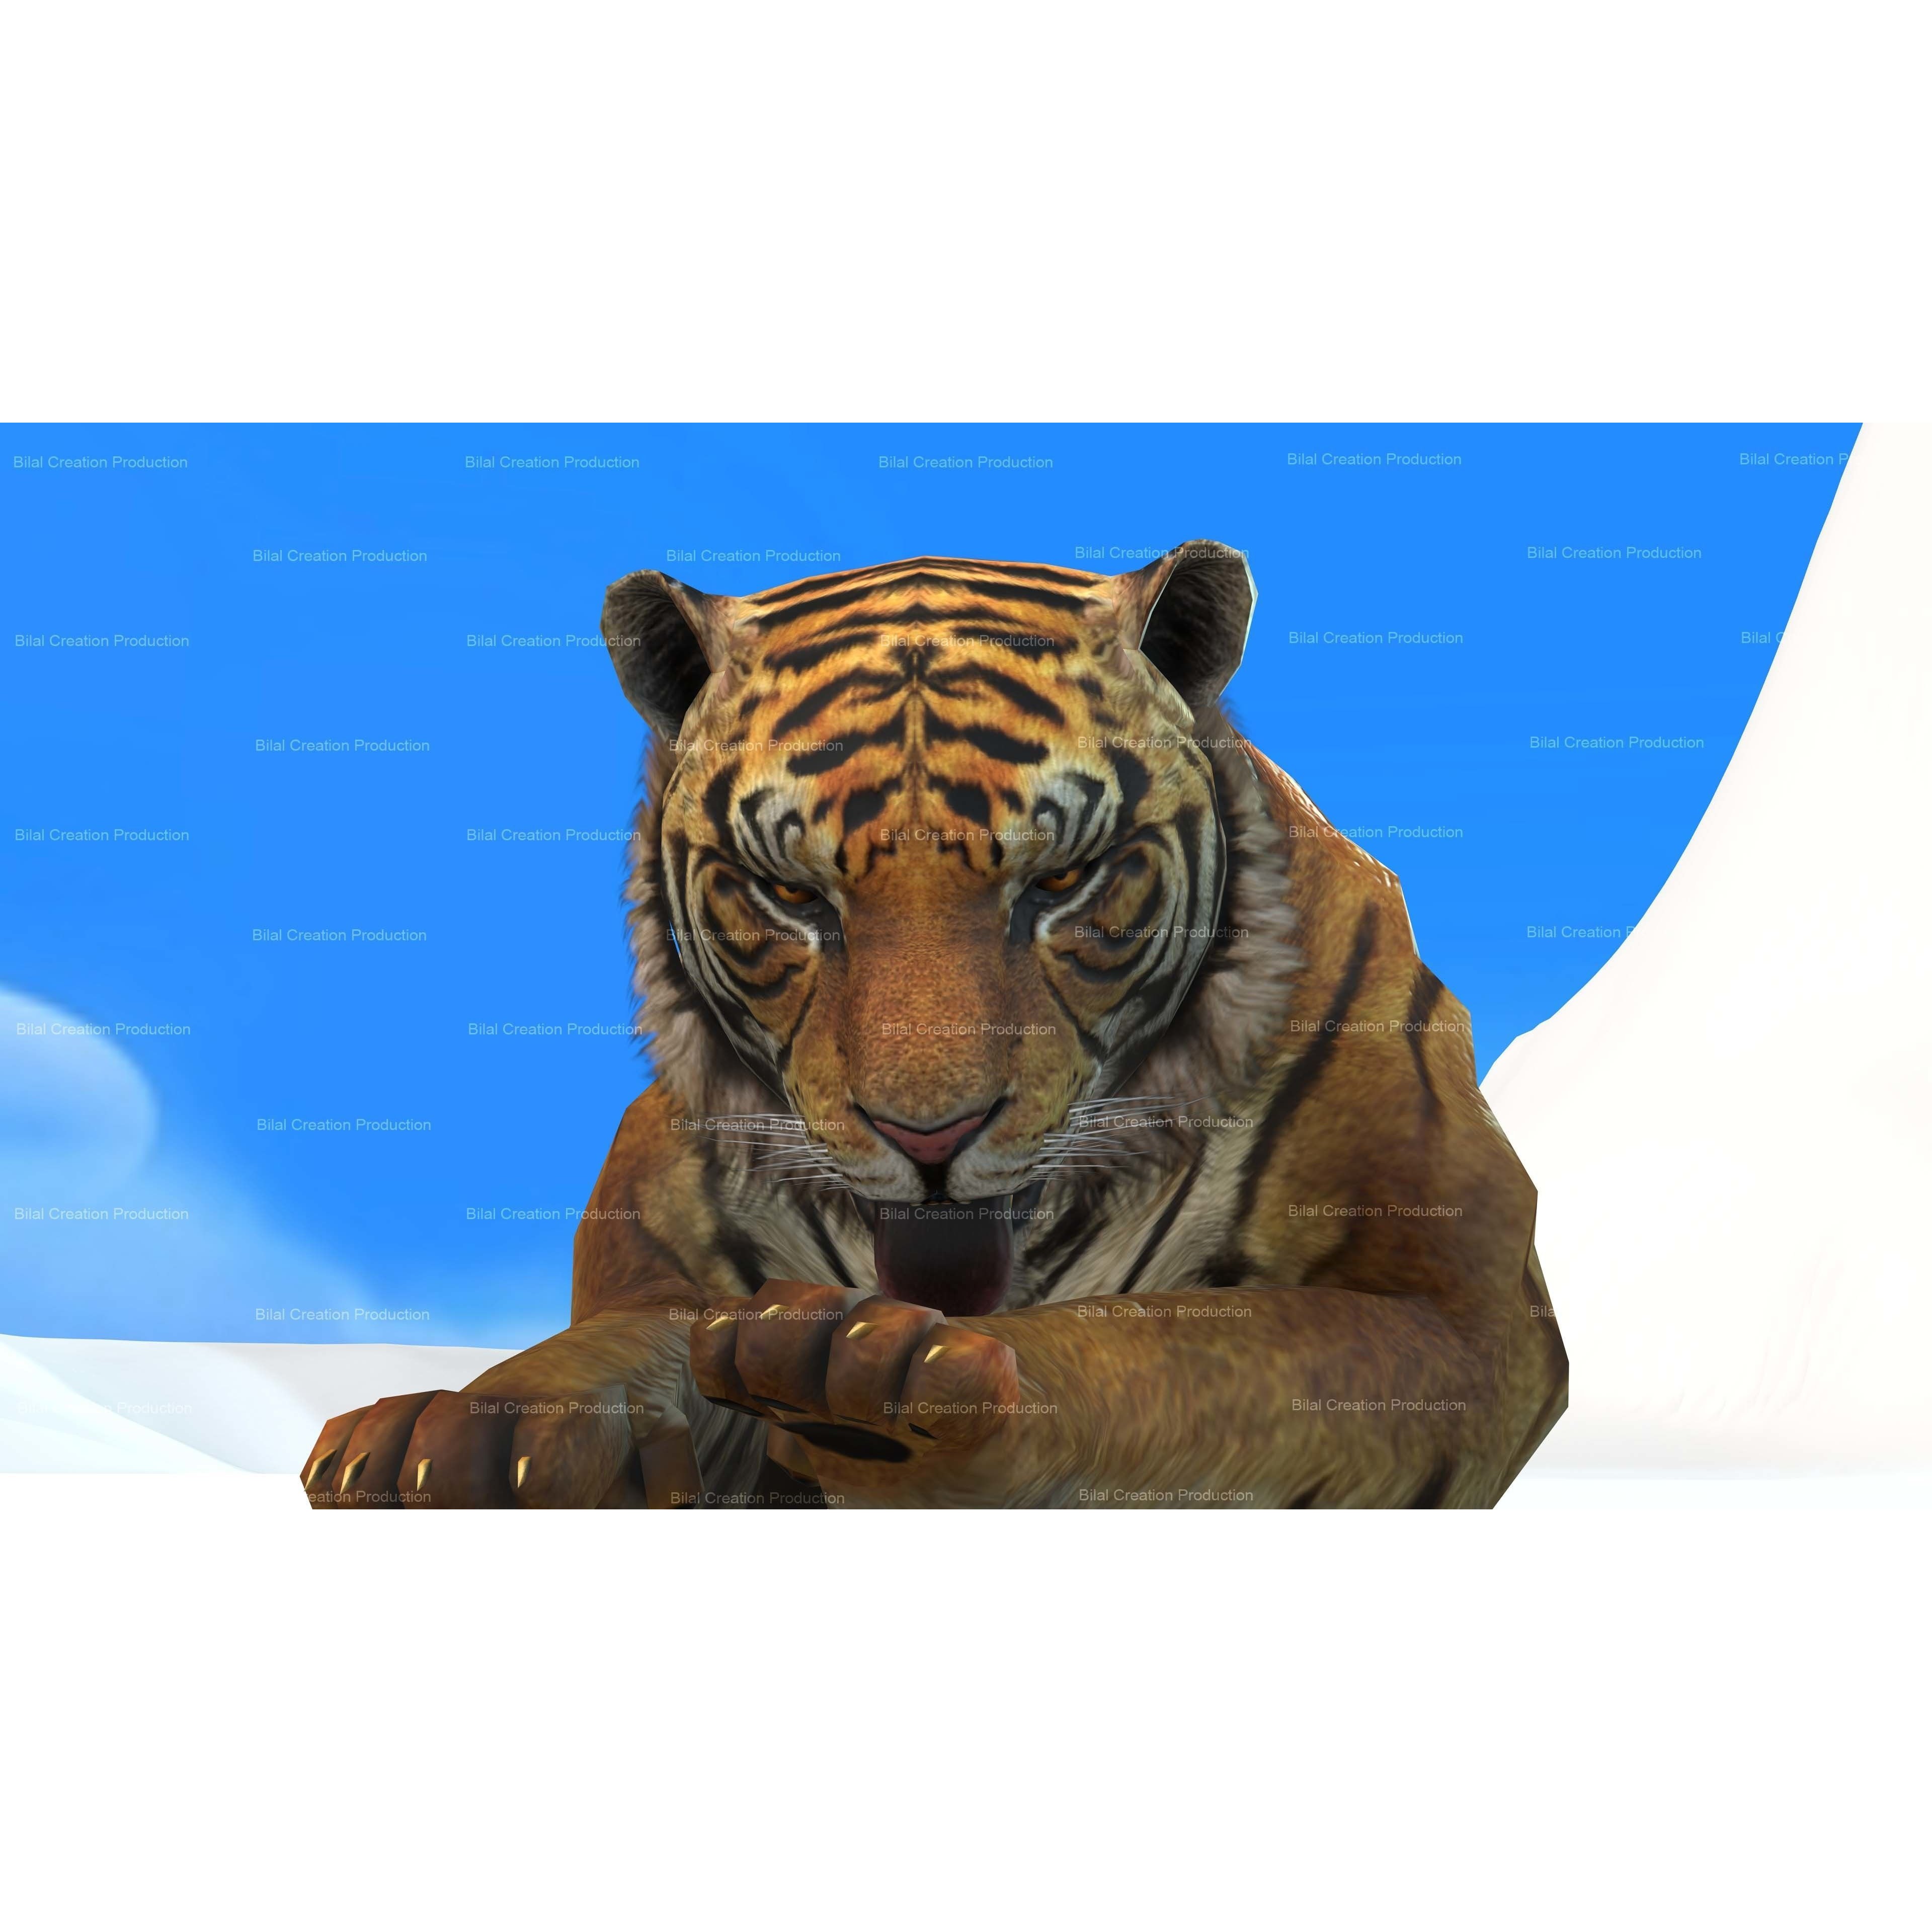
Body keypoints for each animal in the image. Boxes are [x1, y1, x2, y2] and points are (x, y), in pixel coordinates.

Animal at [300, 540, 1567, 1508]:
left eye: (1064, 880)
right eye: (790, 894)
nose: (929, 1139)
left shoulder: (1454, 1314)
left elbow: (1169, 1344)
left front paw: (888, 1387)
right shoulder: (653, 1253)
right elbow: (629, 1335)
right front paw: (459, 1433)